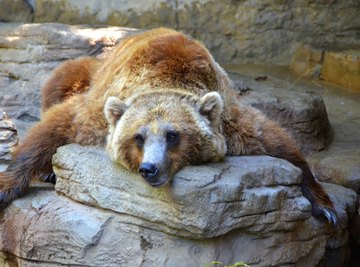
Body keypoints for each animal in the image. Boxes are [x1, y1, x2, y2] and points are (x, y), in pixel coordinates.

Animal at [0, 28, 338, 226]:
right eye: (138, 137)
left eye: (172, 135)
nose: (149, 168)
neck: (168, 77)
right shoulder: (99, 110)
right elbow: (57, 125)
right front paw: (6, 187)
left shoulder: (230, 121)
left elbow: (278, 142)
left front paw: (326, 207)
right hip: (91, 72)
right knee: (62, 78)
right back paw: (49, 171)